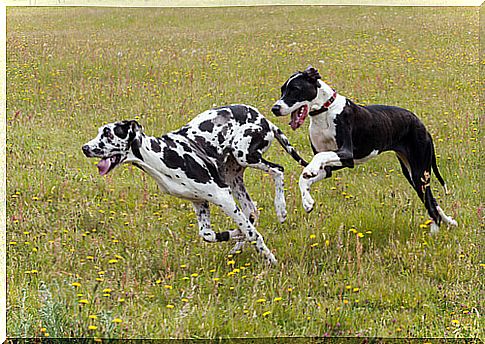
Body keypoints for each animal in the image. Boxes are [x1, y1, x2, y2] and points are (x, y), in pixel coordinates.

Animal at [81, 104, 304, 264]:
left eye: (108, 134)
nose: (85, 148)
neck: (160, 155)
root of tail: (265, 119)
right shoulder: (200, 202)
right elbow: (209, 234)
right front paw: (236, 234)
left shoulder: (222, 196)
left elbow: (252, 234)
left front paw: (270, 258)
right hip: (234, 178)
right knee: (252, 211)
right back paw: (237, 245)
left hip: (245, 156)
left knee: (278, 170)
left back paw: (281, 209)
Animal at [272, 66, 458, 234]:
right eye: (282, 90)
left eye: (295, 89)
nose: (275, 109)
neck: (325, 111)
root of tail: (421, 125)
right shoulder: (330, 168)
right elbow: (304, 178)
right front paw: (307, 202)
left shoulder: (346, 155)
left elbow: (318, 160)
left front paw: (310, 169)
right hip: (412, 174)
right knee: (432, 200)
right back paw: (448, 221)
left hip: (420, 173)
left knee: (431, 206)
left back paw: (434, 233)